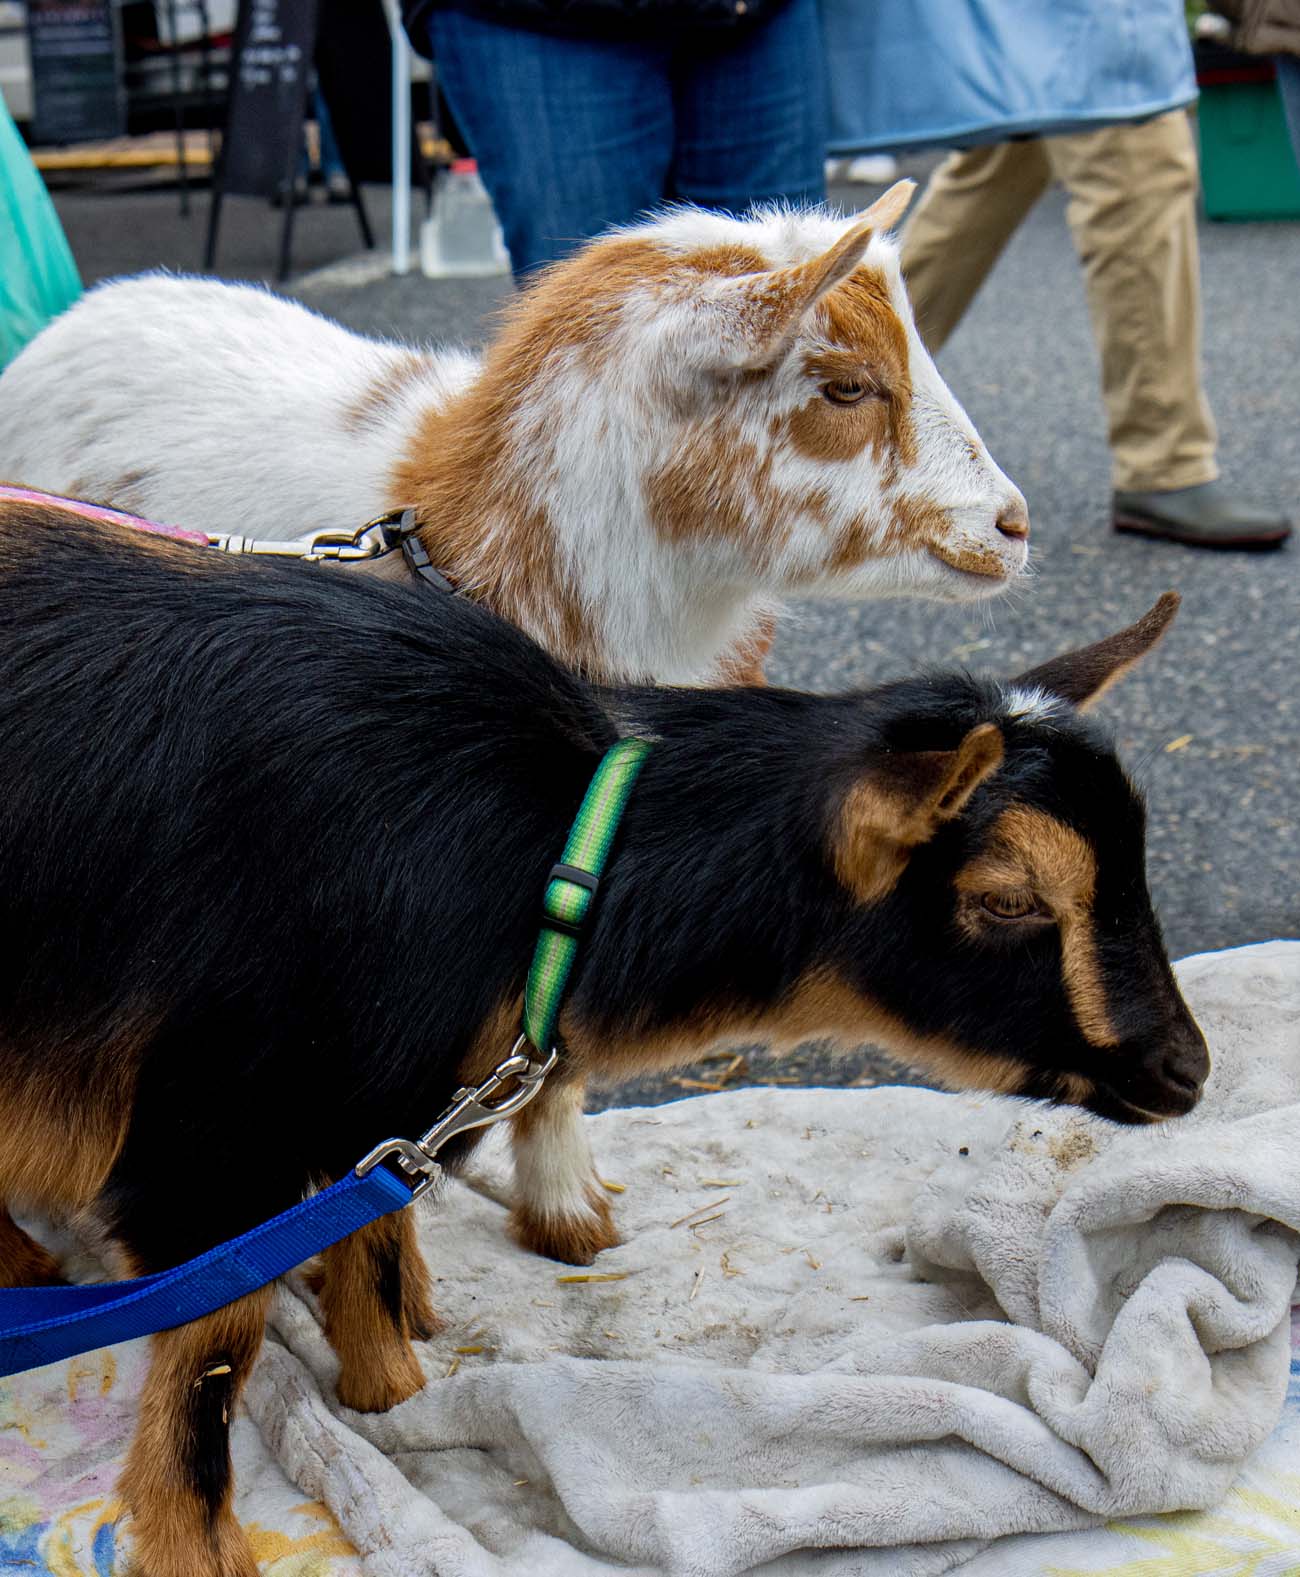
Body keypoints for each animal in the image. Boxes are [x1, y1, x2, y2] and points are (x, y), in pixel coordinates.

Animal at [0, 501, 1203, 1577]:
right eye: (1006, 901)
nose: (1185, 1071)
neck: (550, 848)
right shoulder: (207, 1136)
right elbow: (217, 1342)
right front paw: (203, 1549)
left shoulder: (384, 1102)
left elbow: (370, 1241)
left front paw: (397, 1397)